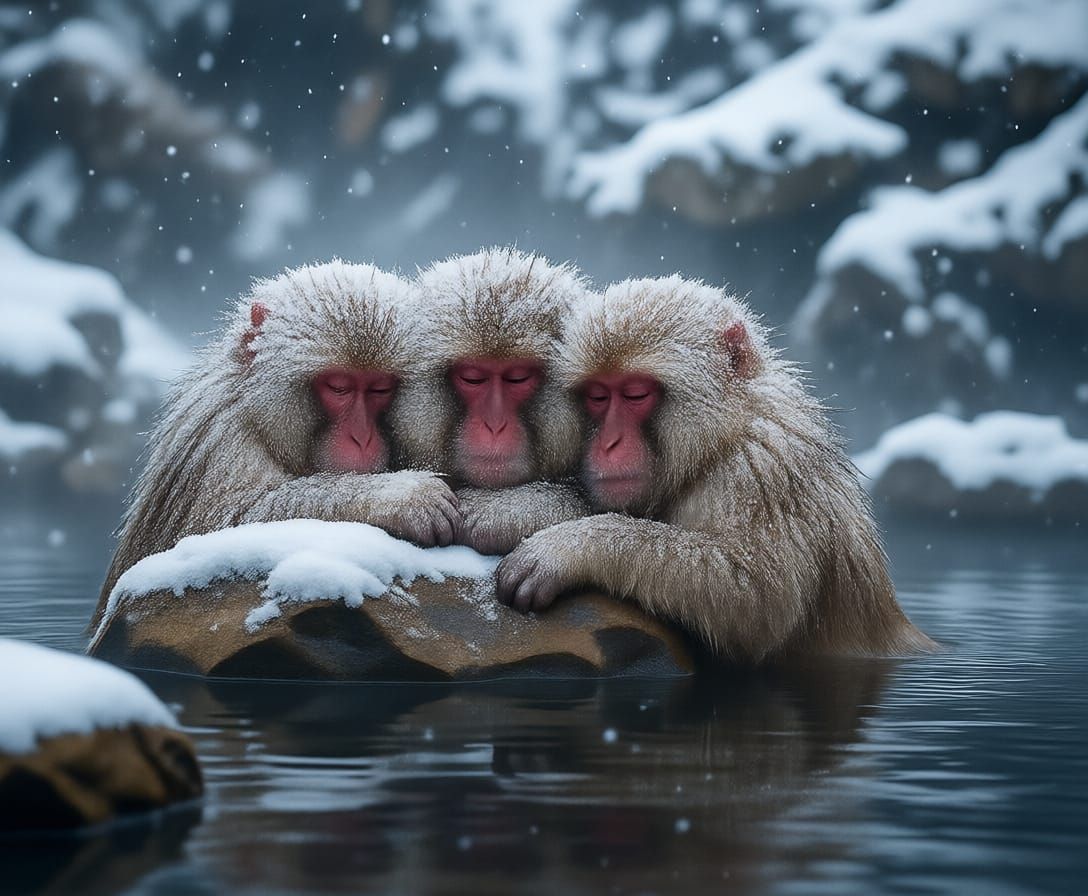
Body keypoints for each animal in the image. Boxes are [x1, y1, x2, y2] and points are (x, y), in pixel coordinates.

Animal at [91, 261, 460, 629]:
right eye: (339, 387)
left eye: (379, 389)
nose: (362, 437)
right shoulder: (222, 447)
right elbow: (227, 526)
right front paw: (404, 498)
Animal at [495, 276, 937, 663]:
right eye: (598, 396)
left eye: (635, 393)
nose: (608, 444)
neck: (721, 440)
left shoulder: (760, 469)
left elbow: (756, 596)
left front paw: (570, 547)